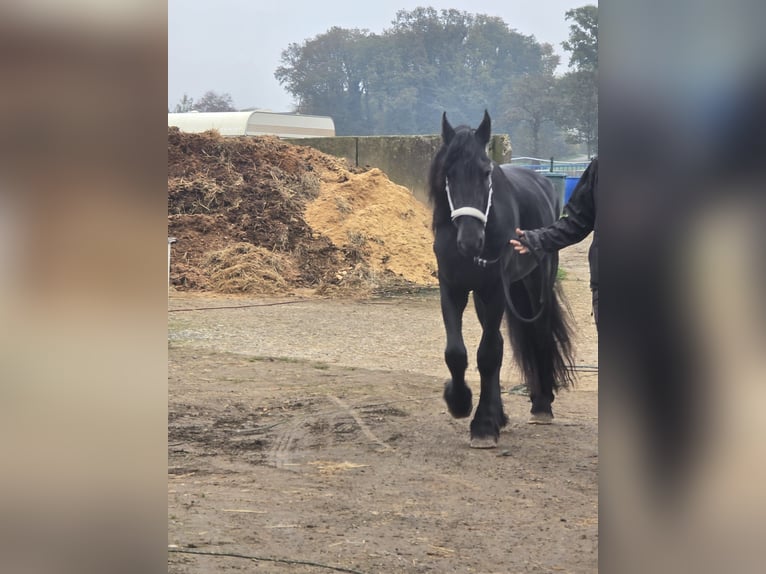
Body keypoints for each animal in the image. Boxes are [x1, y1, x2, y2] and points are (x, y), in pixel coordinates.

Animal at [428, 110, 572, 448]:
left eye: (485, 173)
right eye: (448, 174)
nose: (470, 241)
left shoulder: (494, 290)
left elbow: (488, 354)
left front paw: (482, 426)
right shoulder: (452, 289)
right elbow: (457, 353)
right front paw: (460, 402)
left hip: (534, 285)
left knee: (539, 334)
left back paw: (541, 405)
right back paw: (500, 414)